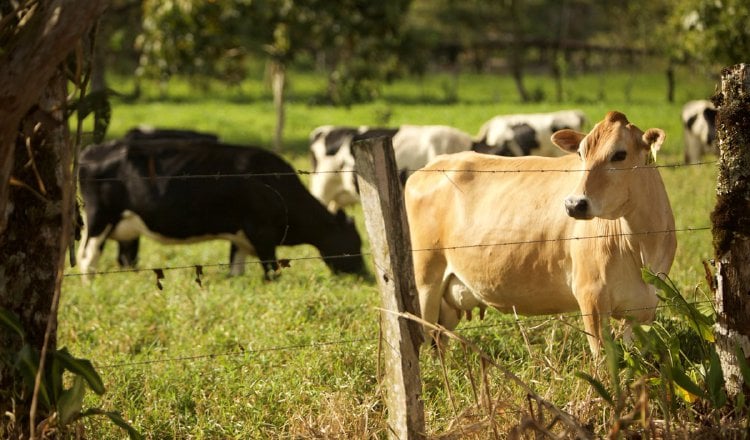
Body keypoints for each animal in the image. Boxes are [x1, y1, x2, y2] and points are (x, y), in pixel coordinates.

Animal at [77, 132, 368, 280]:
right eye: (354, 243)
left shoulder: (240, 237)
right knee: (86, 259)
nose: (366, 276)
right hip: (98, 219)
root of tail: (91, 150)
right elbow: (271, 271)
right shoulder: (262, 233)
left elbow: (235, 271)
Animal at [408, 111, 680, 356]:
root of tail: (433, 164)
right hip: (425, 282)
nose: (574, 204)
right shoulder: (591, 299)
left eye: (620, 154)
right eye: (581, 154)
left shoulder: (644, 308)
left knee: (439, 341)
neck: (641, 246)